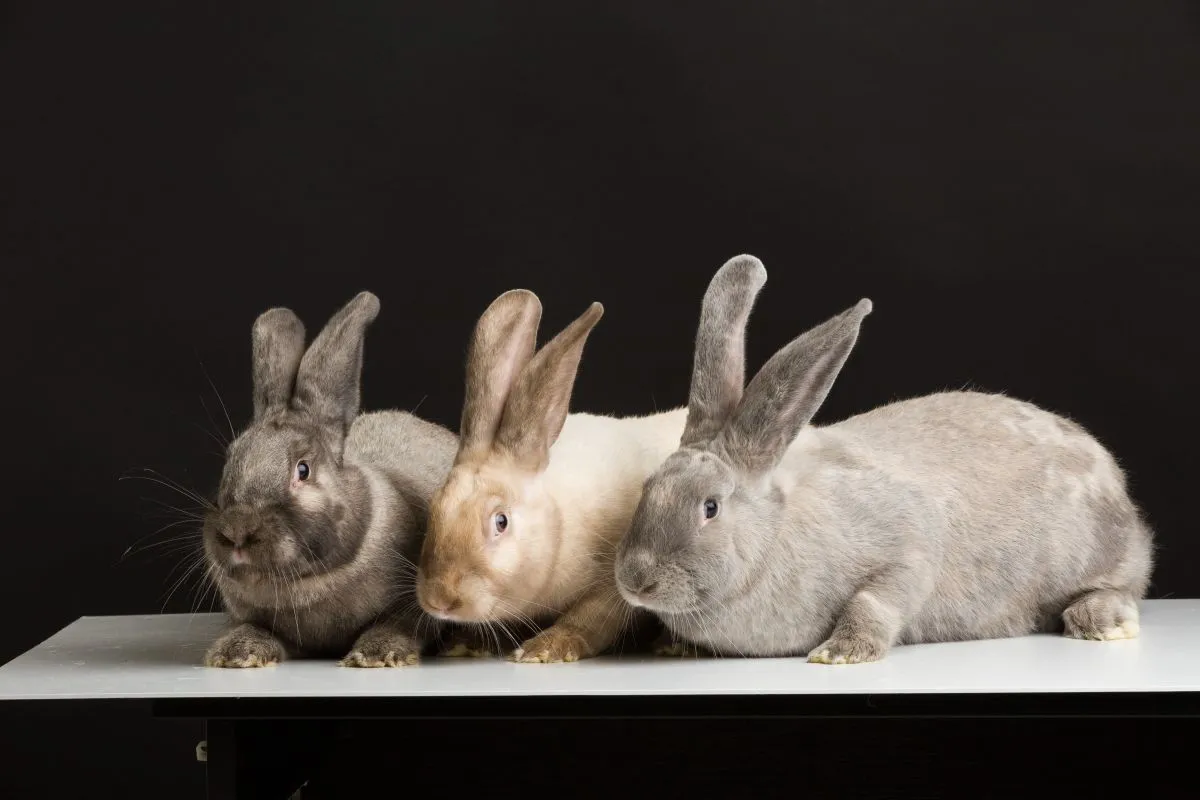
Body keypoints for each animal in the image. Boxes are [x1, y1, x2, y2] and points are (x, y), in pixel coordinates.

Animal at [202, 291, 458, 668]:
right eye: (230, 459)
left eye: (303, 469)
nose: (237, 530)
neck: (309, 582)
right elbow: (254, 629)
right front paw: (234, 654)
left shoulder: (417, 602)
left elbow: (398, 624)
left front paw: (376, 655)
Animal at [415, 289, 688, 663]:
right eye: (434, 509)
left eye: (501, 521)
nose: (439, 599)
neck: (558, 521)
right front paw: (464, 645)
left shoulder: (615, 581)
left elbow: (591, 618)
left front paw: (545, 649)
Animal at [614, 254, 1154, 664]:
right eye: (646, 488)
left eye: (711, 507)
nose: (636, 581)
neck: (776, 532)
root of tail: (1114, 479)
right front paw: (668, 646)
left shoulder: (909, 547)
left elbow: (878, 600)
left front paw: (840, 654)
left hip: (1099, 552)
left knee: (1126, 583)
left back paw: (1100, 622)